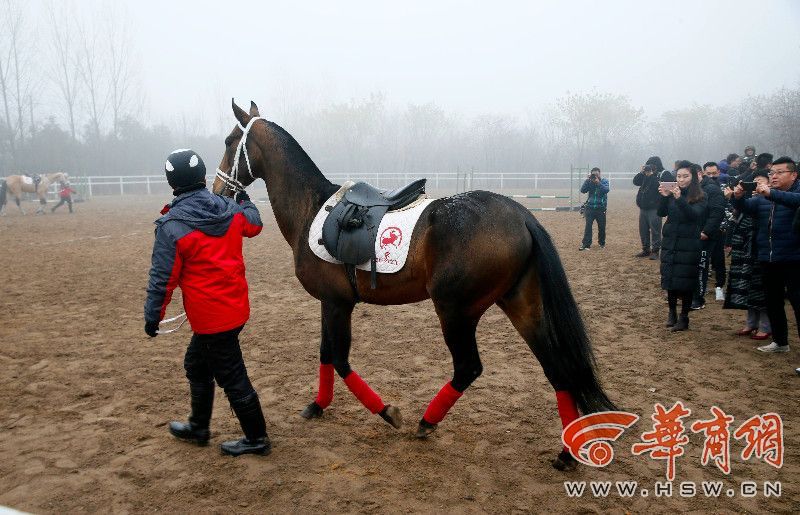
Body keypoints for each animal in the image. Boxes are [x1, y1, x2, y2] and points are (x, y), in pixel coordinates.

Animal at [212, 100, 617, 469]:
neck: (313, 209)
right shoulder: (331, 303)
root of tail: (519, 215)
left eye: (231, 140)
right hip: (521, 306)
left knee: (468, 367)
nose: (216, 189)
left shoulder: (336, 302)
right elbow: (327, 355)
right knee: (558, 367)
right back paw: (565, 453)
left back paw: (427, 422)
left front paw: (387, 412)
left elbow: (339, 359)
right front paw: (318, 405)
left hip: (456, 311)